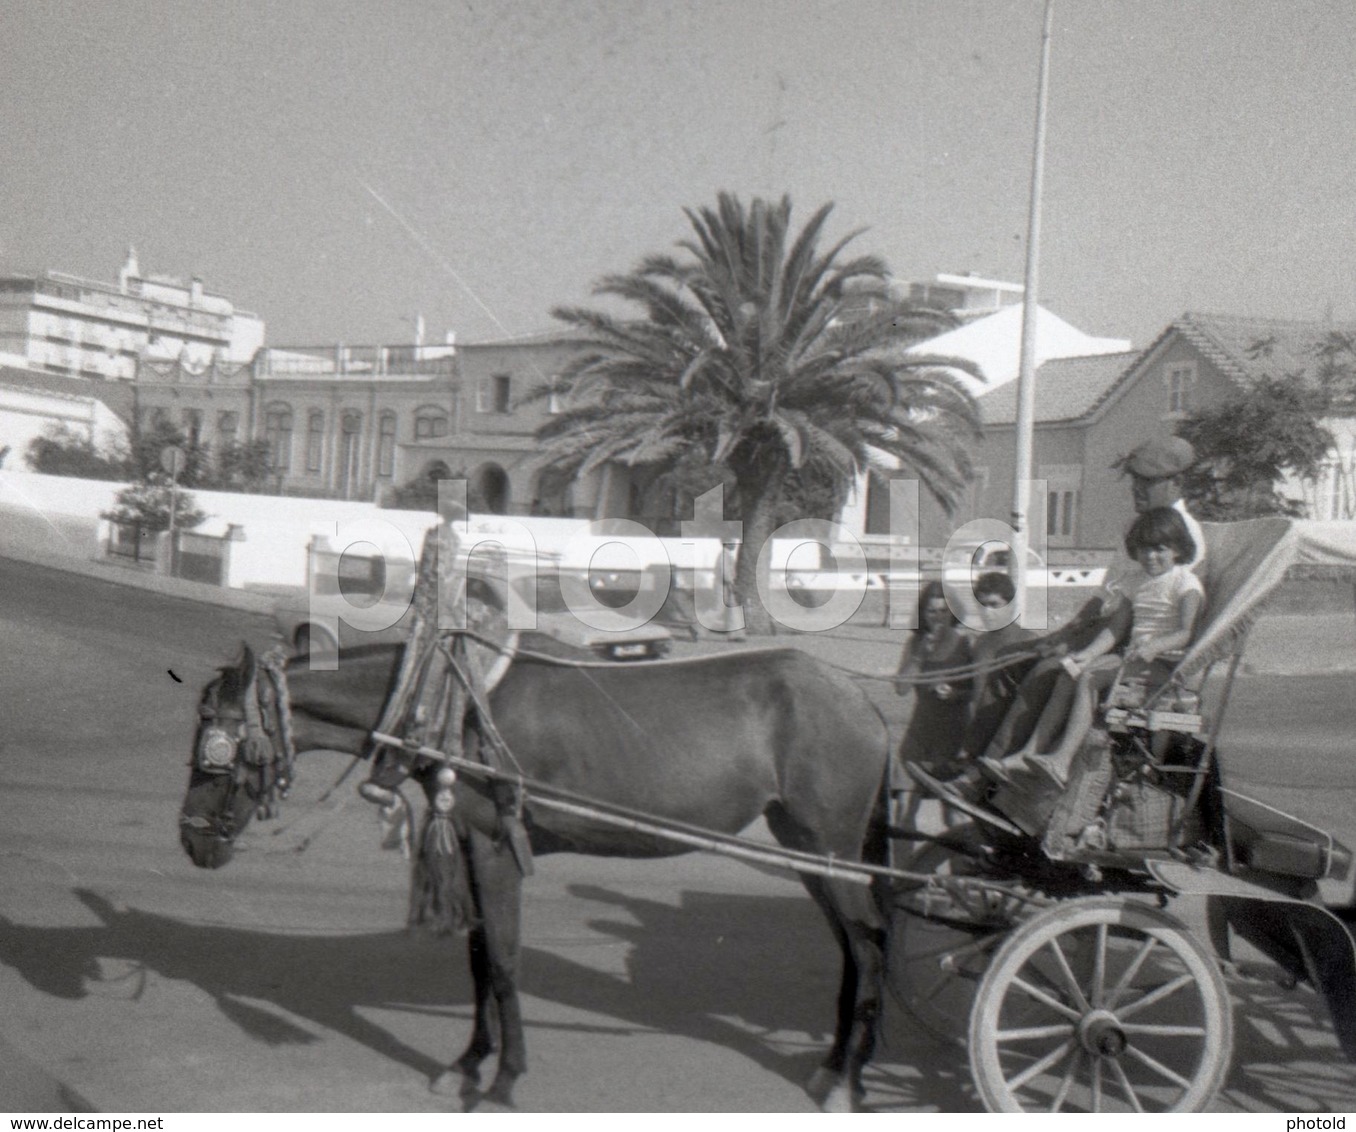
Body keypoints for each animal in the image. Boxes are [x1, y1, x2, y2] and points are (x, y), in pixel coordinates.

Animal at [180, 642, 900, 1111]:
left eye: (217, 741)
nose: (191, 839)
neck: (456, 707)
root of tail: (862, 697)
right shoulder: (471, 846)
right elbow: (477, 957)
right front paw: (468, 1063)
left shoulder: (497, 848)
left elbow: (501, 961)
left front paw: (504, 1082)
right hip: (806, 848)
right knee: (854, 947)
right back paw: (839, 1070)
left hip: (832, 850)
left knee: (868, 947)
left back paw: (845, 1081)